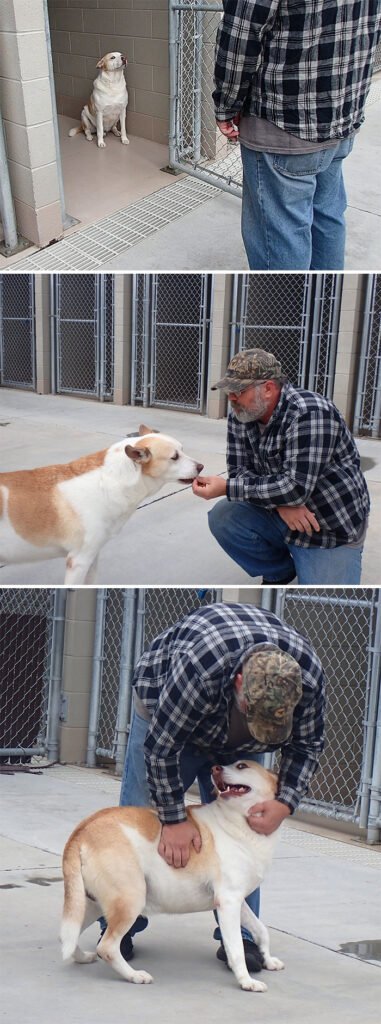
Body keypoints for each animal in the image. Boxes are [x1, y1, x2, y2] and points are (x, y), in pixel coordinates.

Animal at [0, 423, 203, 585]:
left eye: (183, 449)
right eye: (174, 457)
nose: (201, 467)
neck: (109, 481)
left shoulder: (92, 558)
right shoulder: (78, 561)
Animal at [60, 761, 286, 991]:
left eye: (241, 765)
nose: (215, 768)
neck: (238, 821)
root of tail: (82, 831)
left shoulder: (238, 901)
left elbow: (261, 930)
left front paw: (268, 960)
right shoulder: (228, 902)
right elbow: (237, 949)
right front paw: (247, 981)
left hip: (90, 905)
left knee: (69, 936)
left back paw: (82, 957)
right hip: (131, 899)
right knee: (107, 947)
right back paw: (134, 975)